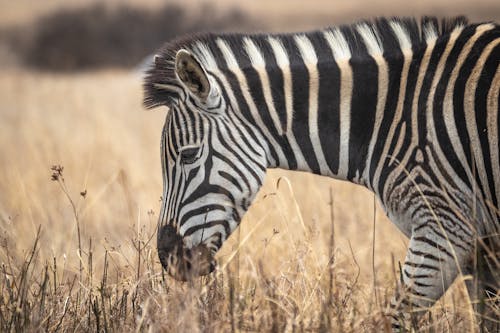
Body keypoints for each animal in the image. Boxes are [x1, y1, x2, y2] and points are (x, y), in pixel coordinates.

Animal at [143, 17, 498, 330]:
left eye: (188, 155)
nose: (166, 257)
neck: (390, 114)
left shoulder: (445, 226)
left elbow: (397, 317)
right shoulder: (479, 246)